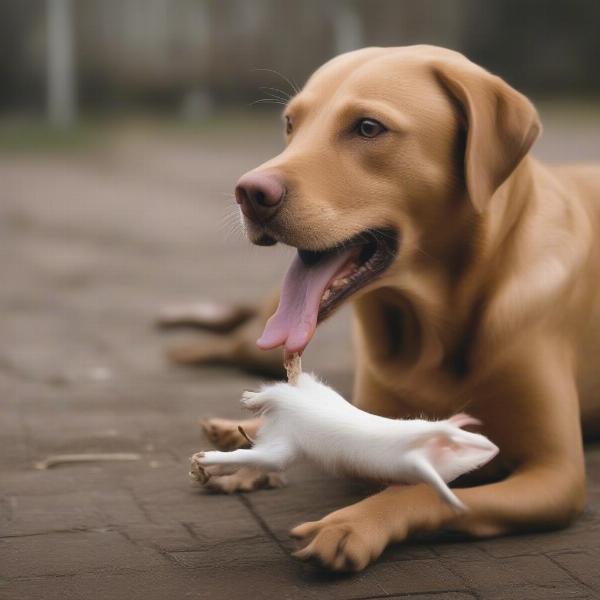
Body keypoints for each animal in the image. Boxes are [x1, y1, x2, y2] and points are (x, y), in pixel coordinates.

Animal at [164, 47, 600, 572]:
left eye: (368, 128)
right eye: (290, 124)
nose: (248, 193)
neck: (429, 324)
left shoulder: (556, 473)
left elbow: (426, 488)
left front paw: (352, 524)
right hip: (260, 347)